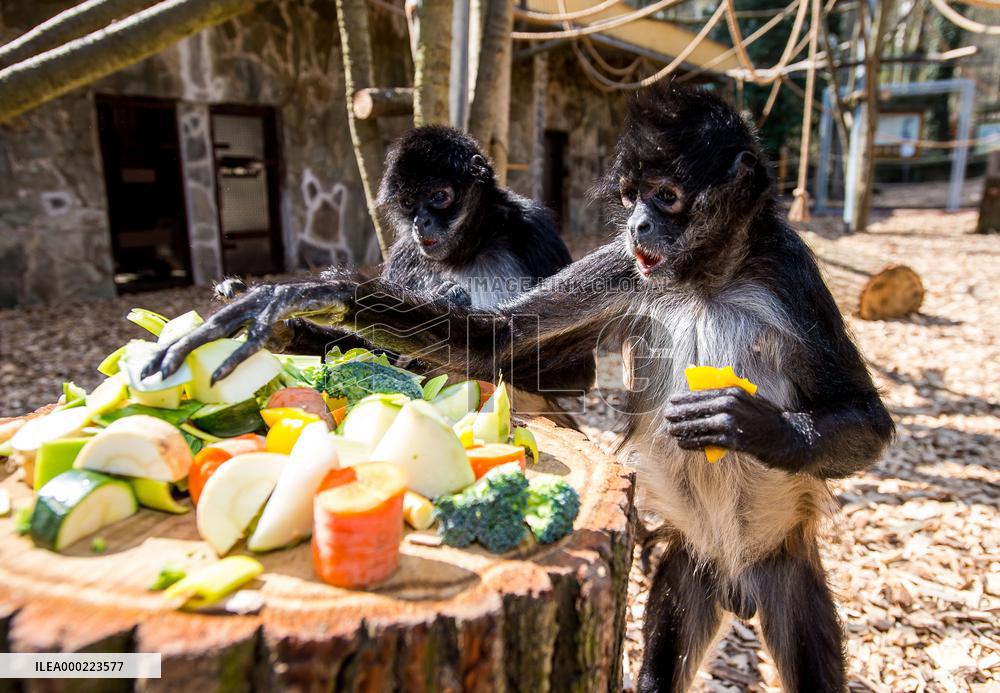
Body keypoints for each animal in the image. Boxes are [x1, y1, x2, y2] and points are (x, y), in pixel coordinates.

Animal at [145, 83, 893, 692]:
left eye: (667, 198)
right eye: (632, 198)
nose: (637, 225)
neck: (704, 280)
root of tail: (740, 577)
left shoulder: (787, 269)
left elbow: (870, 419)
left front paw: (745, 423)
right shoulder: (626, 264)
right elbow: (498, 340)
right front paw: (301, 303)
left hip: (785, 566)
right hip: (693, 569)